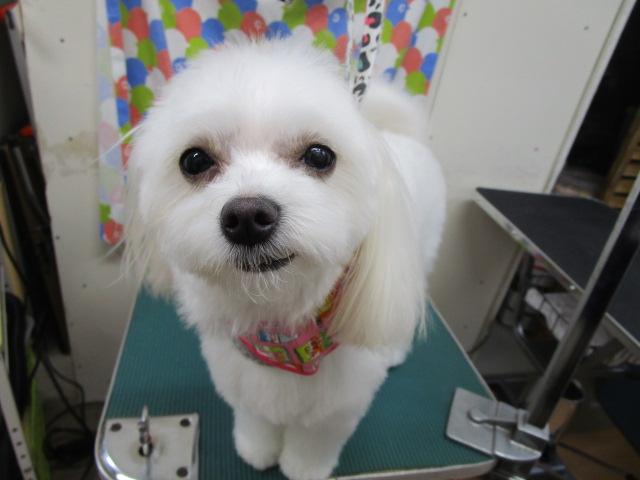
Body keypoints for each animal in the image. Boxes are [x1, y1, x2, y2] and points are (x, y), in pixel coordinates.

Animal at [124, 36, 445, 480]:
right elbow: (256, 416)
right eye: (194, 160)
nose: (247, 217)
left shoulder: (339, 406)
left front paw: (303, 468)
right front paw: (256, 448)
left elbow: (315, 440)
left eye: (319, 155)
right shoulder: (244, 374)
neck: (277, 328)